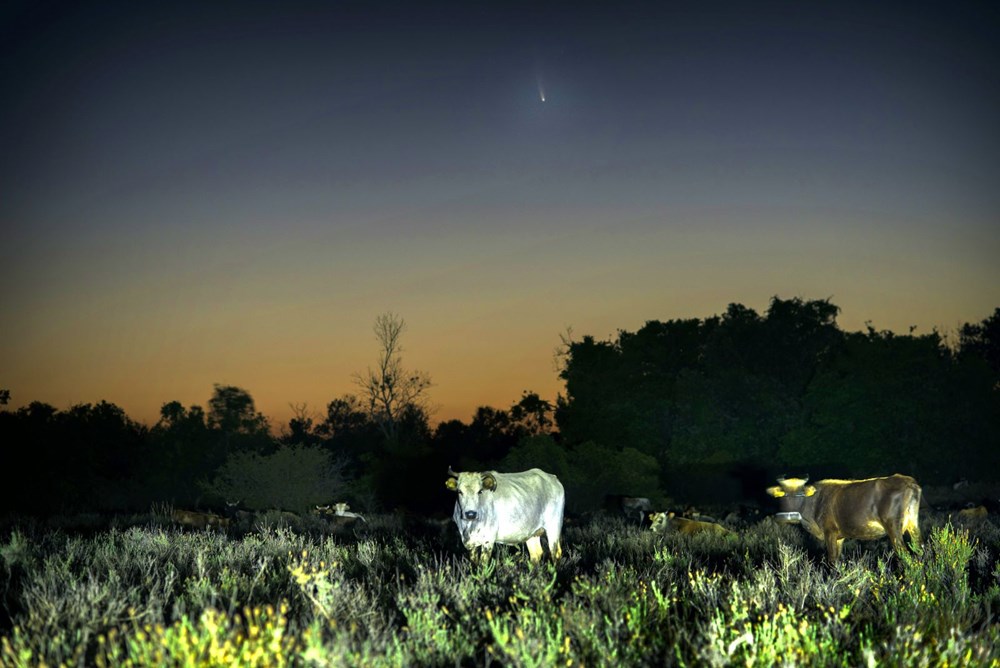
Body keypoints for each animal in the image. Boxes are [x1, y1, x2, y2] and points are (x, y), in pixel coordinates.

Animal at [764, 474, 920, 564]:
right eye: (782, 494)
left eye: (801, 493)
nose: (791, 516)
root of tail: (909, 482)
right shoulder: (840, 537)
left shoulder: (830, 532)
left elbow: (832, 560)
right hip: (913, 525)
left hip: (894, 528)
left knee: (904, 554)